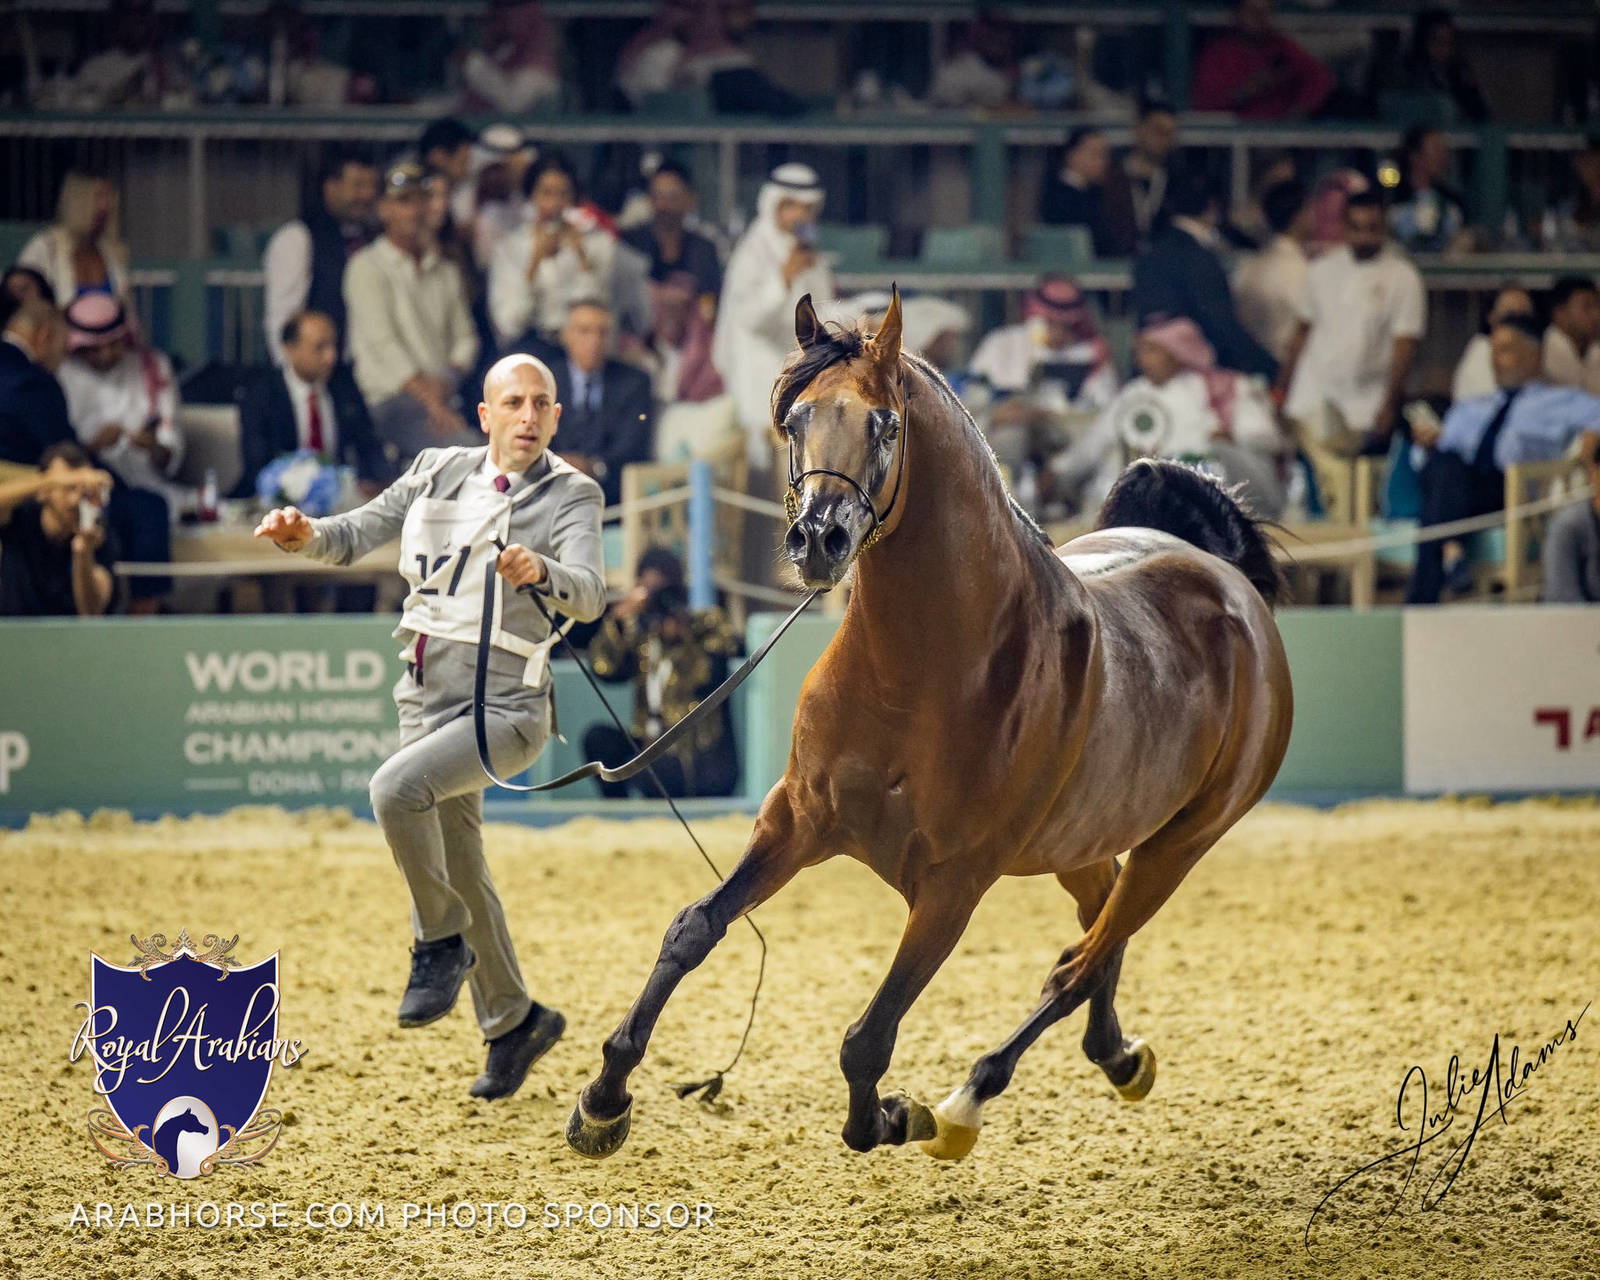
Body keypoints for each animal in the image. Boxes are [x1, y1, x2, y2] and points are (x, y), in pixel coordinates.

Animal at [565, 285, 1293, 1161]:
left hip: (1179, 845)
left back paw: (968, 1101)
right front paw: (603, 1101)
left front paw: (889, 1116)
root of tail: (1227, 585)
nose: (818, 540)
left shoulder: (953, 885)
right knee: (1096, 929)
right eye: (794, 420)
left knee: (1081, 961)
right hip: (1077, 842)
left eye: (884, 424)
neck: (919, 673)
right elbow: (694, 931)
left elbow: (867, 1039)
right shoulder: (797, 819)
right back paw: (1115, 1055)